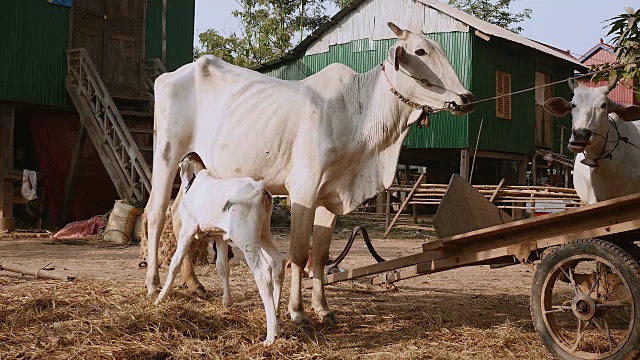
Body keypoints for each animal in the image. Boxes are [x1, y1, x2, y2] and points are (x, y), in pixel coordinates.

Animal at [154, 159, 284, 344]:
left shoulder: (187, 229)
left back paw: (271, 335)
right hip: (263, 233)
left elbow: (175, 262)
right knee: (278, 262)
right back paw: (276, 309)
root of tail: (260, 189)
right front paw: (227, 302)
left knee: (263, 272)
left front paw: (161, 297)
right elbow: (223, 267)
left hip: (246, 237)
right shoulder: (218, 235)